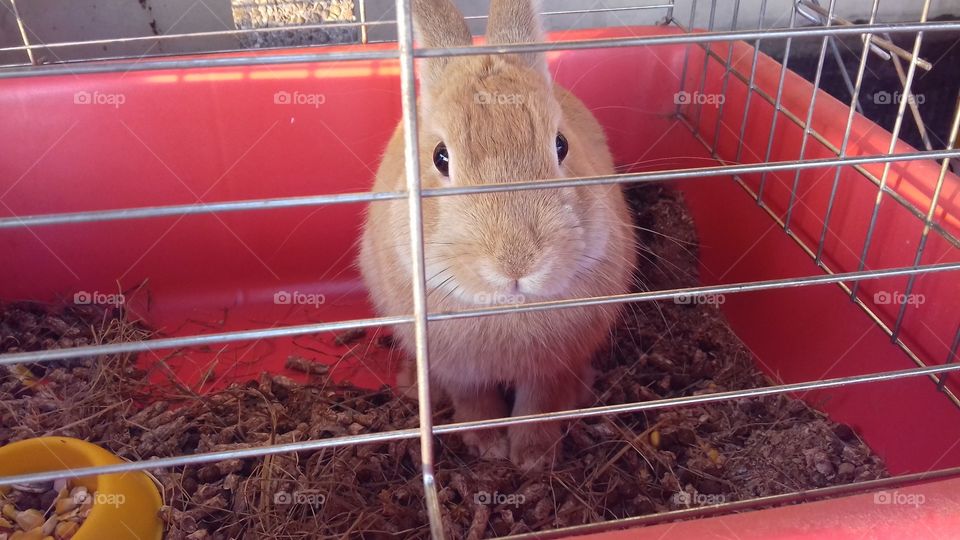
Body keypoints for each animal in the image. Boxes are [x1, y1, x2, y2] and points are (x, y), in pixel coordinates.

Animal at [358, 0, 636, 471]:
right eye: (441, 157)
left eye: (561, 144)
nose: (517, 263)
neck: (506, 307)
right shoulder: (459, 369)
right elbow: (475, 402)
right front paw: (487, 447)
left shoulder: (550, 367)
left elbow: (539, 405)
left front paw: (532, 457)